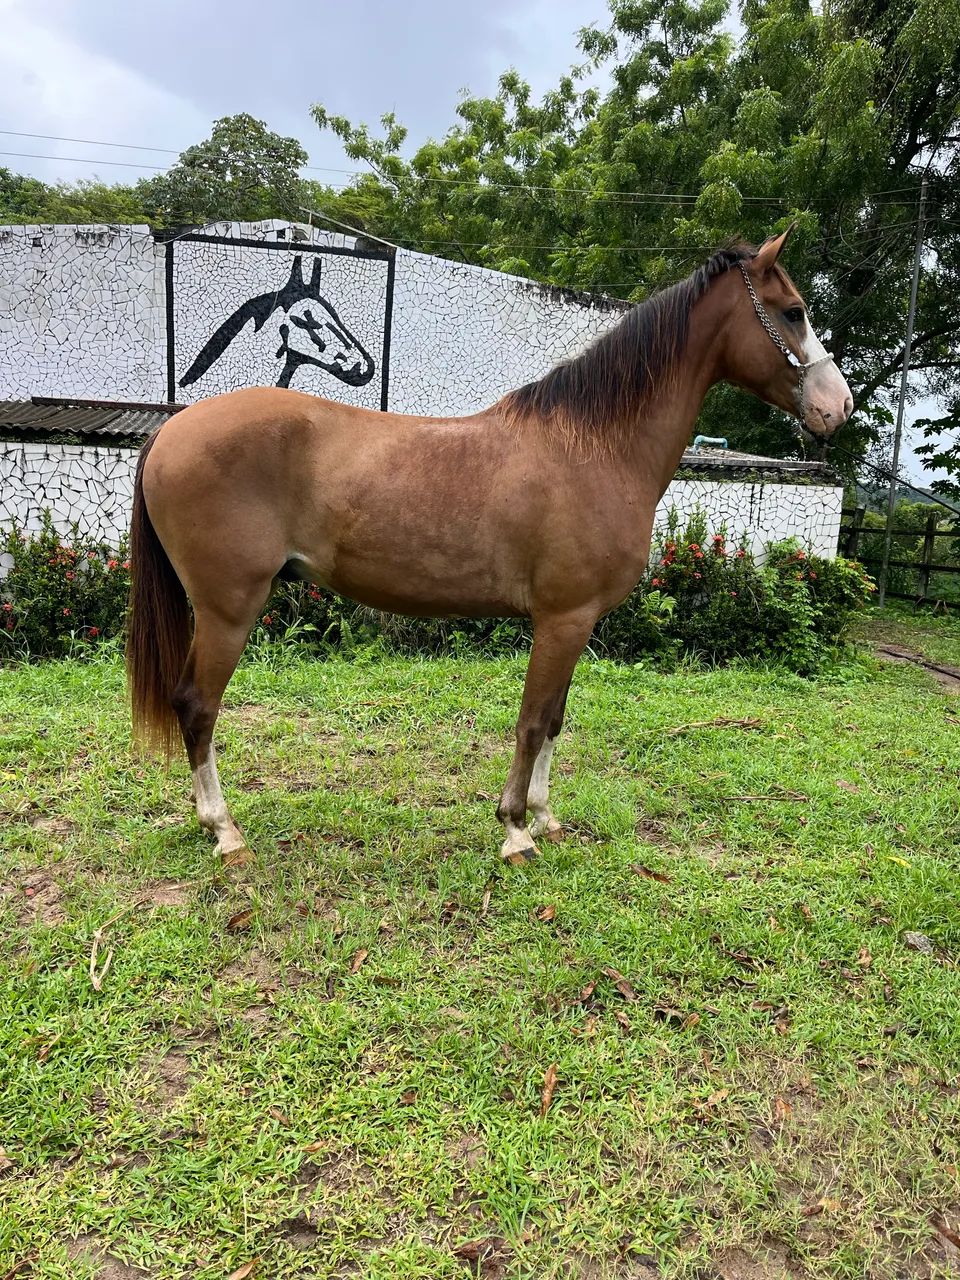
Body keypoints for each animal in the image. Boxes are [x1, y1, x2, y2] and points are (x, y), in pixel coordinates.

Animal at [126, 227, 853, 866]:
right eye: (793, 312)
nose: (838, 407)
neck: (595, 446)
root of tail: (171, 432)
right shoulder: (562, 619)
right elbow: (532, 722)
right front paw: (514, 830)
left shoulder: (578, 622)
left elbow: (554, 719)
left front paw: (547, 817)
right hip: (228, 609)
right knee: (197, 706)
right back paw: (225, 831)